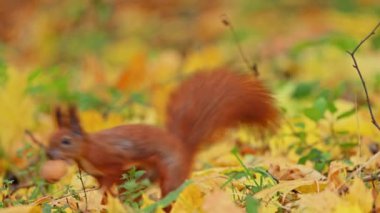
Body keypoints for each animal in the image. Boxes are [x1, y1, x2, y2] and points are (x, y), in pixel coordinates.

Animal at [46, 69, 280, 199]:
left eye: (66, 141)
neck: (87, 150)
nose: (49, 154)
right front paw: (101, 193)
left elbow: (112, 172)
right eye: (49, 138)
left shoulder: (110, 158)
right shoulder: (95, 171)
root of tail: (183, 149)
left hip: (170, 171)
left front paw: (102, 191)